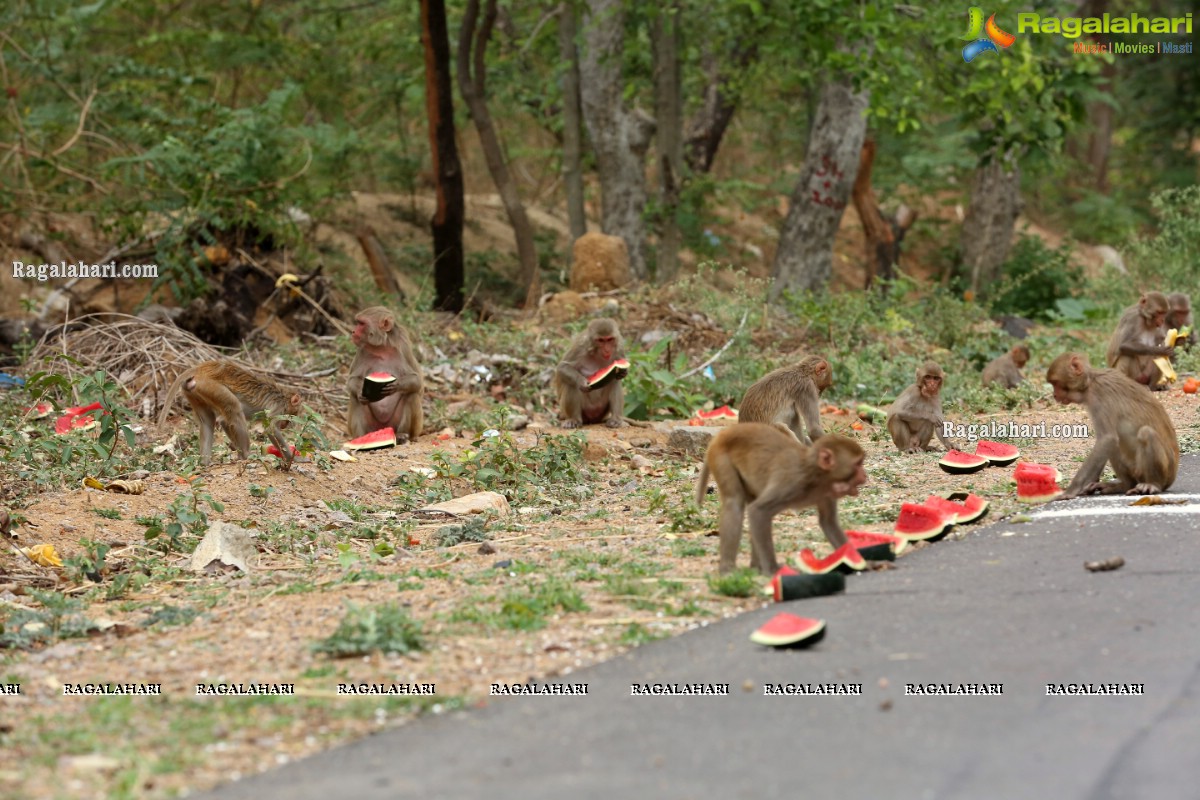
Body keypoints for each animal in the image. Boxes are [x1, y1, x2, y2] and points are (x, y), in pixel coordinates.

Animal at [157, 362, 300, 470]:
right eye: (291, 415)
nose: (286, 424)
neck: (283, 396)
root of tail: (200, 368)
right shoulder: (279, 408)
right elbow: (271, 428)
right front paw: (295, 458)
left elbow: (224, 422)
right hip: (211, 386)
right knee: (234, 407)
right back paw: (247, 455)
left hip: (195, 391)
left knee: (208, 421)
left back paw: (205, 463)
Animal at [345, 307, 424, 443]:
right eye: (358, 322)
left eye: (362, 323)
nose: (353, 331)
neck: (381, 348)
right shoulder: (361, 350)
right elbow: (352, 380)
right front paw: (360, 391)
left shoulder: (402, 345)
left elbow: (417, 381)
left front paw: (397, 385)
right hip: (372, 426)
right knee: (355, 398)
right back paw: (361, 437)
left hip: (396, 424)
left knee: (411, 395)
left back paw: (402, 435)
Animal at [696, 429, 873, 578]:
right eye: (858, 464)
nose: (864, 475)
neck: (815, 475)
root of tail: (725, 432)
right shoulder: (791, 482)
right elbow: (758, 511)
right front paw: (773, 570)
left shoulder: (827, 492)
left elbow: (828, 522)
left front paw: (860, 561)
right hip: (721, 457)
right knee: (734, 504)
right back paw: (728, 569)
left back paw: (755, 567)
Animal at [1046, 352, 1176, 496]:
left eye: (1056, 383)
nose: (1054, 395)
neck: (1091, 383)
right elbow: (1107, 443)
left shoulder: (1100, 396)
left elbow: (1107, 439)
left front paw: (1071, 491)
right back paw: (1125, 485)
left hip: (1165, 473)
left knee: (1146, 433)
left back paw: (1153, 484)